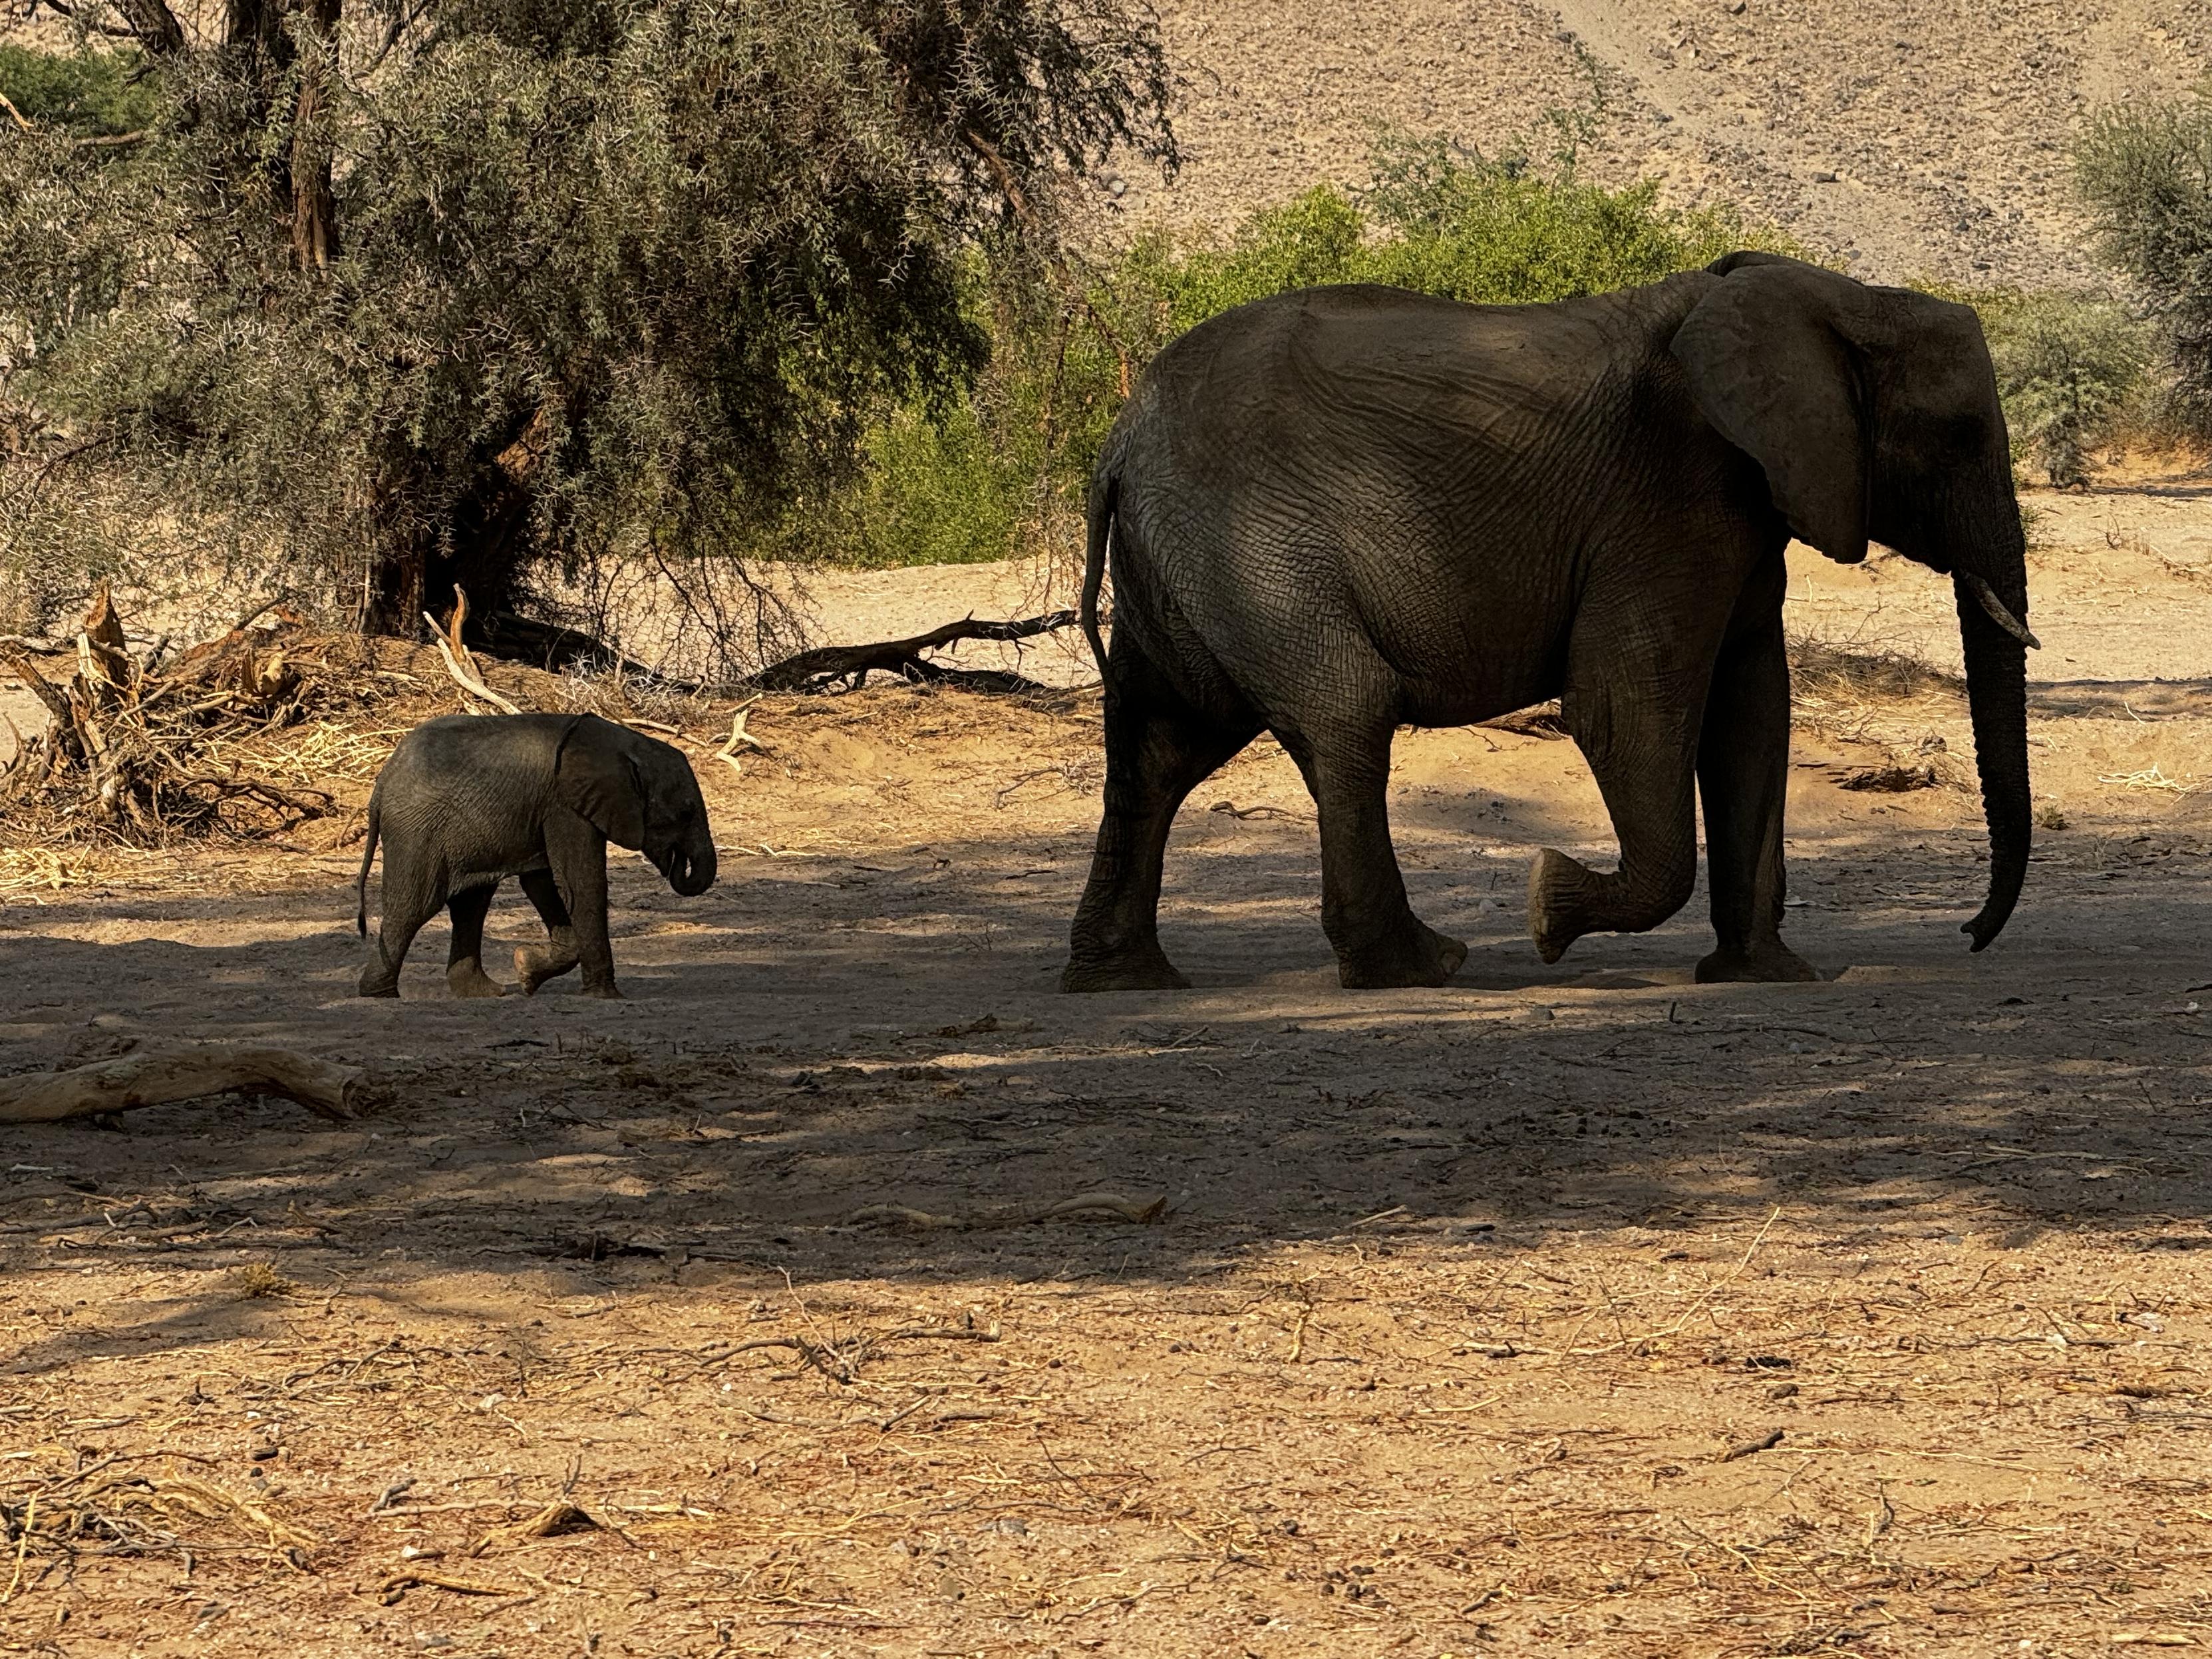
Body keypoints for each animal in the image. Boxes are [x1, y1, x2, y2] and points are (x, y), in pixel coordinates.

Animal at [355, 713, 716, 999]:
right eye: (686, 814)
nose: (677, 864)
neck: (627, 742)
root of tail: (382, 782)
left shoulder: (550, 809)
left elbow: (545, 883)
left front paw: (525, 971)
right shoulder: (565, 805)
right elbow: (580, 882)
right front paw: (606, 997)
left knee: (470, 906)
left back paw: (487, 993)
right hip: (417, 832)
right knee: (413, 908)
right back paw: (380, 996)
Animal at [1062, 251, 2035, 993]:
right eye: (1958, 433)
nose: (1968, 934)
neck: (1829, 294)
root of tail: (1117, 445)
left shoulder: (1747, 507)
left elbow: (1753, 713)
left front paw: (1768, 977)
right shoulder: (1666, 503)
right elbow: (1623, 708)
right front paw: (1546, 908)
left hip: (1181, 564)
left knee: (1158, 748)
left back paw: (1125, 980)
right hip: (1253, 545)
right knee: (1344, 710)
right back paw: (1421, 969)